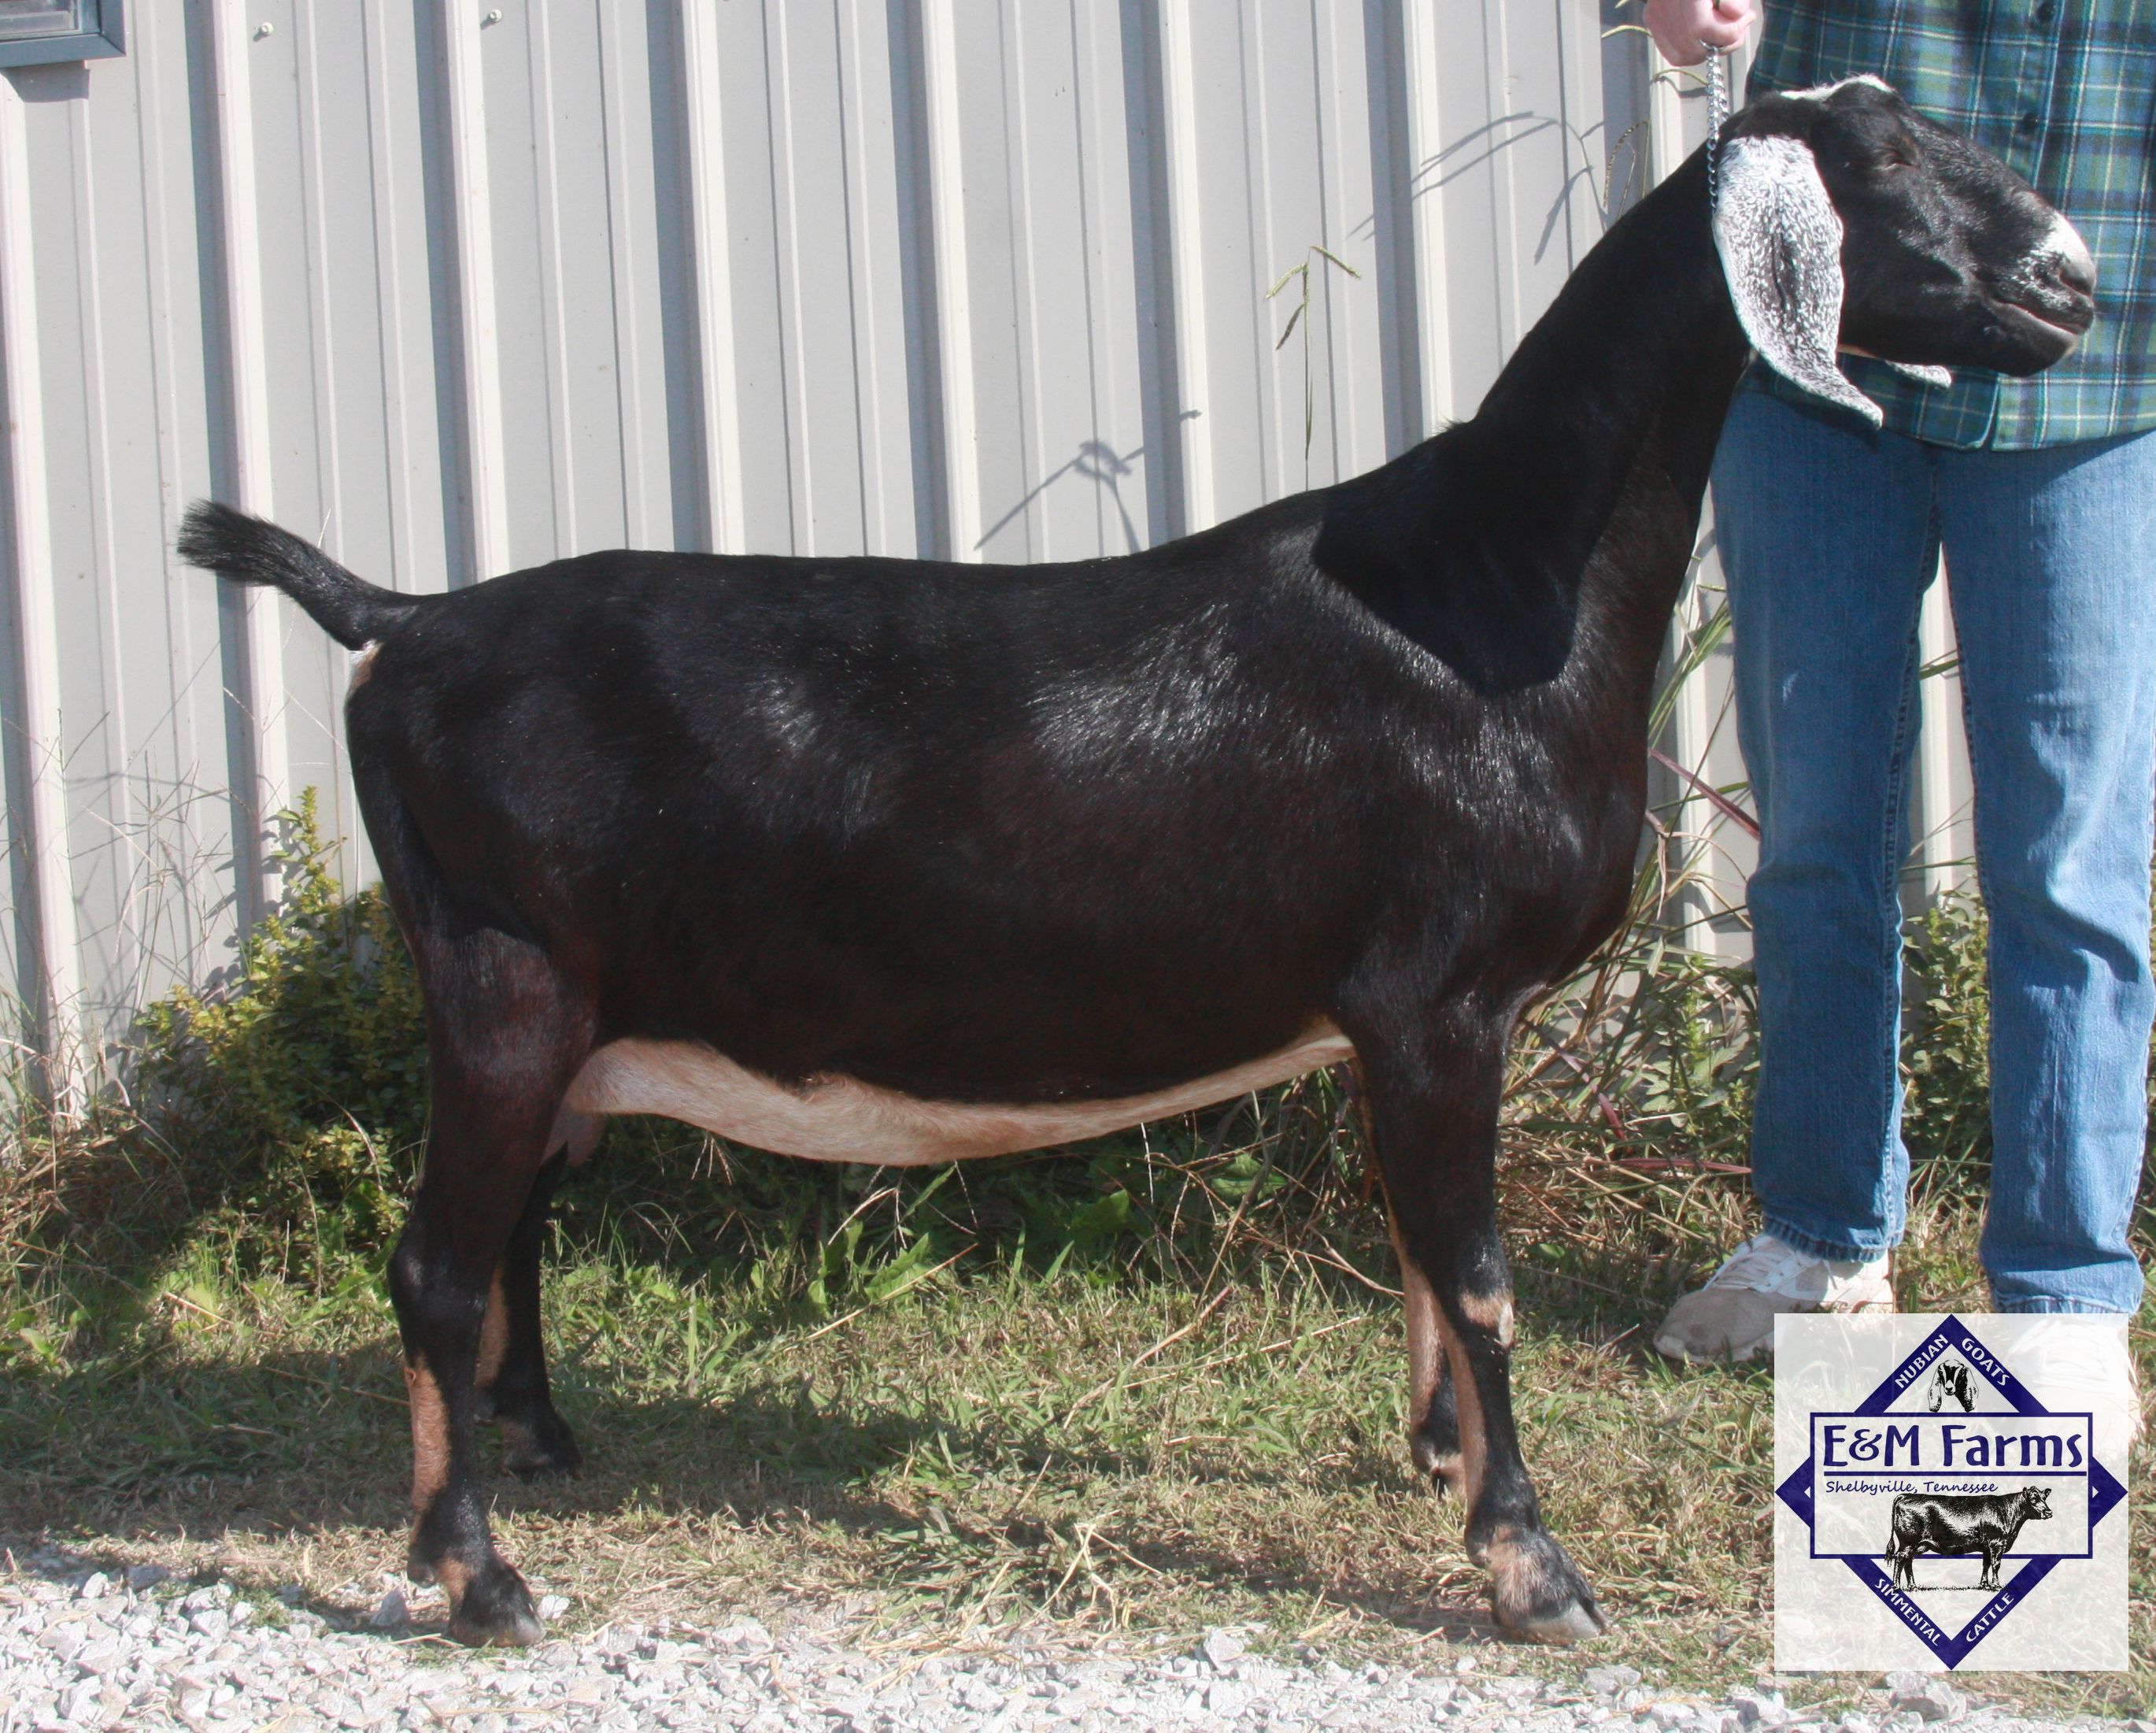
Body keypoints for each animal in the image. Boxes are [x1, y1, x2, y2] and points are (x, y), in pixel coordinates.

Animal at [177, 79, 2092, 1646]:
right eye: (1884, 165)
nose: (2073, 279)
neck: (1489, 591)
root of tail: (404, 622)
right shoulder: (1439, 993)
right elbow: (1475, 1267)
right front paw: (1530, 1565)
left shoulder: (1393, 1019)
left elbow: (1421, 1246)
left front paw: (1428, 1454)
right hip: (502, 975)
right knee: (432, 1265)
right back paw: (475, 1575)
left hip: (562, 1010)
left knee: (509, 1225)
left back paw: (540, 1441)